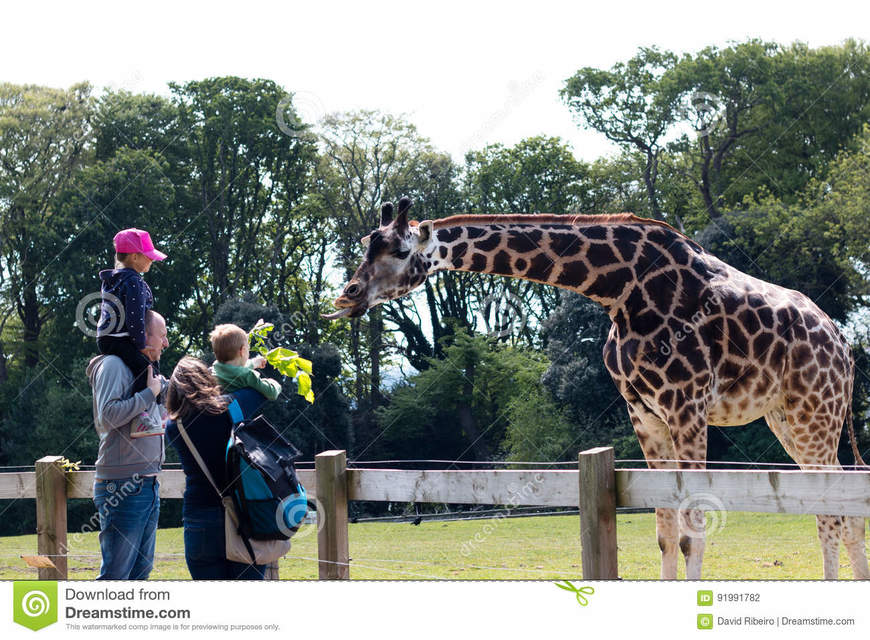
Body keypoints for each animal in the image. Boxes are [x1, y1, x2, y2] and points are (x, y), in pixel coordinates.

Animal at [328, 196, 870, 580]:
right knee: (843, 507)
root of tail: (844, 347)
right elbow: (665, 531)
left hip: (815, 413)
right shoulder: (645, 412)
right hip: (789, 420)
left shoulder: (688, 405)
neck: (618, 290)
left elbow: (692, 533)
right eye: (366, 244)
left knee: (832, 513)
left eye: (400, 251)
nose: (346, 295)